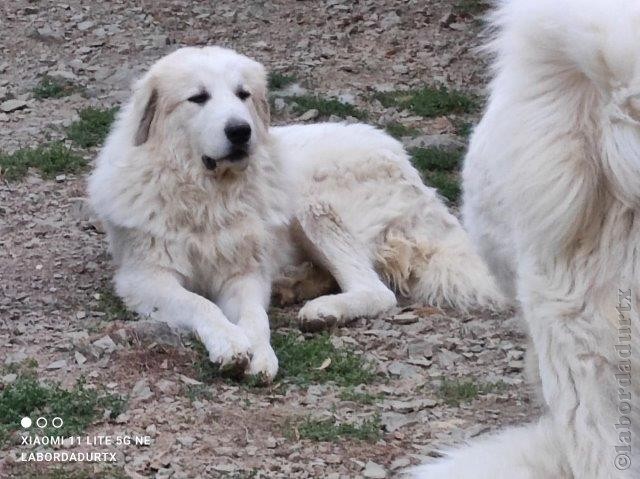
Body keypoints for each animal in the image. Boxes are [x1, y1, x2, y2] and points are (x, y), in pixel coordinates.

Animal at [90, 46, 502, 382]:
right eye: (198, 98)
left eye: (243, 95)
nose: (240, 131)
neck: (210, 196)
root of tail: (407, 165)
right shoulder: (147, 278)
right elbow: (200, 304)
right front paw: (230, 343)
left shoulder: (244, 275)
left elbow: (255, 318)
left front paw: (259, 354)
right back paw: (296, 287)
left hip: (312, 201)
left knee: (376, 291)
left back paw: (323, 309)